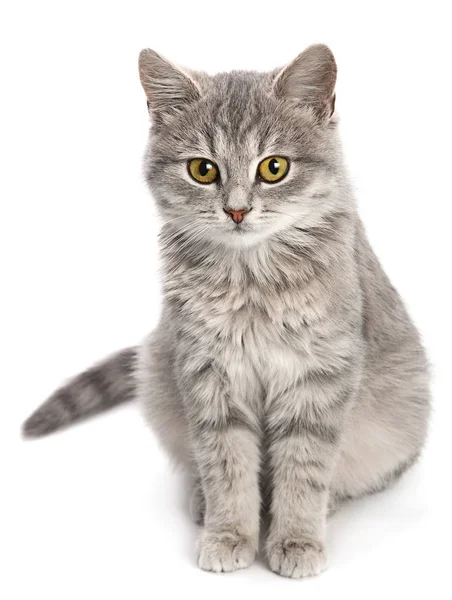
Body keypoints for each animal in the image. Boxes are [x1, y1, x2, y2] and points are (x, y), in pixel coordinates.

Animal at [22, 44, 430, 580]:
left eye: (274, 168)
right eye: (203, 170)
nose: (237, 211)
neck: (251, 281)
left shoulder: (318, 376)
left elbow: (303, 469)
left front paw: (296, 539)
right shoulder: (209, 373)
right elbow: (227, 465)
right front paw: (229, 533)